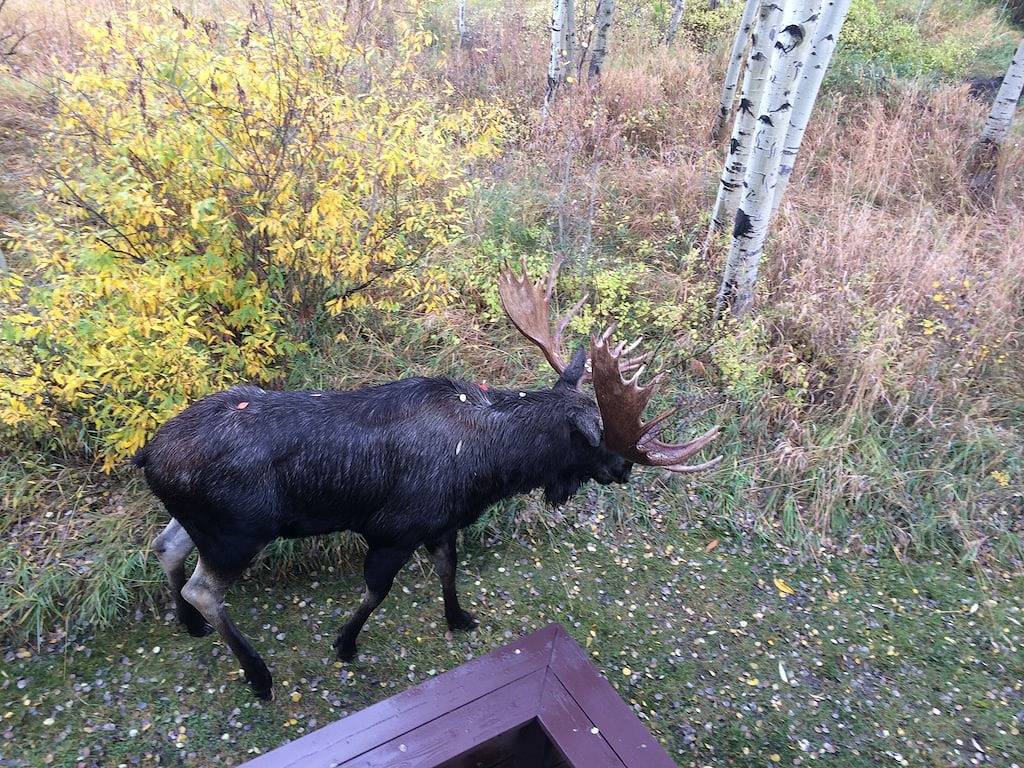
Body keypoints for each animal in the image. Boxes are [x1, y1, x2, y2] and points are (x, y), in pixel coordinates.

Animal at [134, 260, 722, 699]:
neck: (489, 469)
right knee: (203, 588)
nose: (625, 468)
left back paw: (188, 624)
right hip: (239, 531)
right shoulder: (393, 529)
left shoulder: (442, 523)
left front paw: (458, 618)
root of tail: (146, 455)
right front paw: (345, 644)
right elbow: (377, 591)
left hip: (205, 523)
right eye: (599, 442)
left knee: (165, 546)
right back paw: (257, 674)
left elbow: (447, 570)